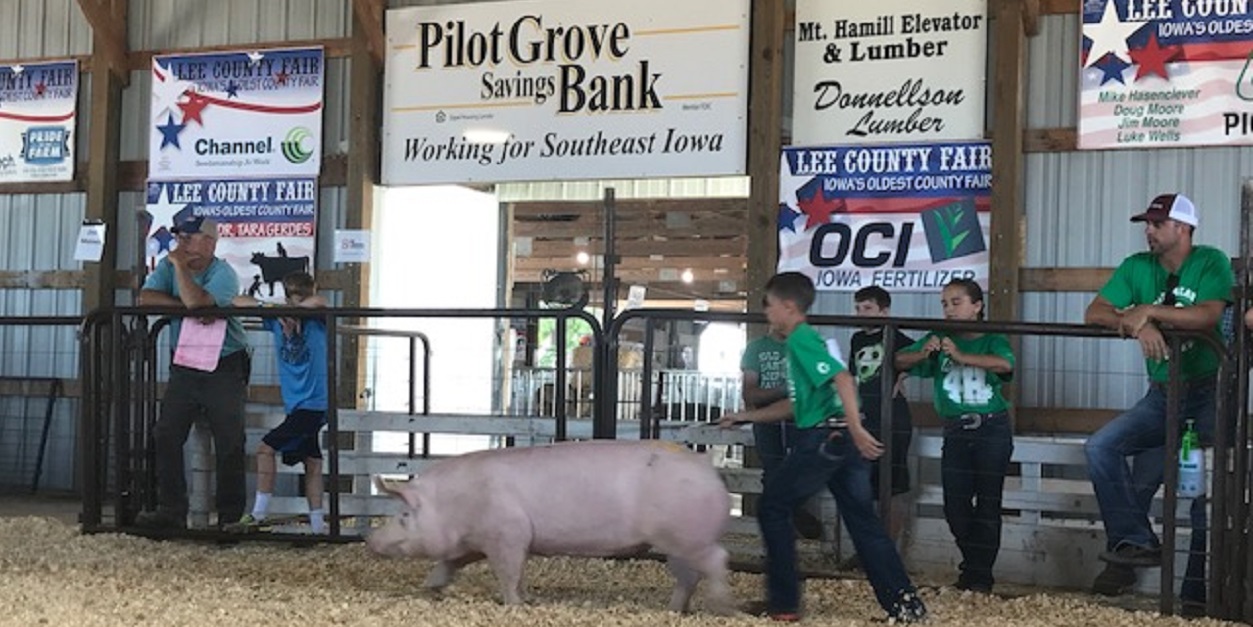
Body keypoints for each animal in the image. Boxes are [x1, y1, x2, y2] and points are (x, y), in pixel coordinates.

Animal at [365, 438, 731, 614]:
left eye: (404, 515)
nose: (370, 539)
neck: (456, 504)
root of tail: (708, 471)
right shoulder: (478, 541)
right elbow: (451, 561)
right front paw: (430, 587)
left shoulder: (508, 533)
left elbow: (509, 572)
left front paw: (515, 604)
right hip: (680, 542)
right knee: (689, 576)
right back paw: (674, 610)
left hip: (688, 537)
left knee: (718, 561)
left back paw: (720, 607)